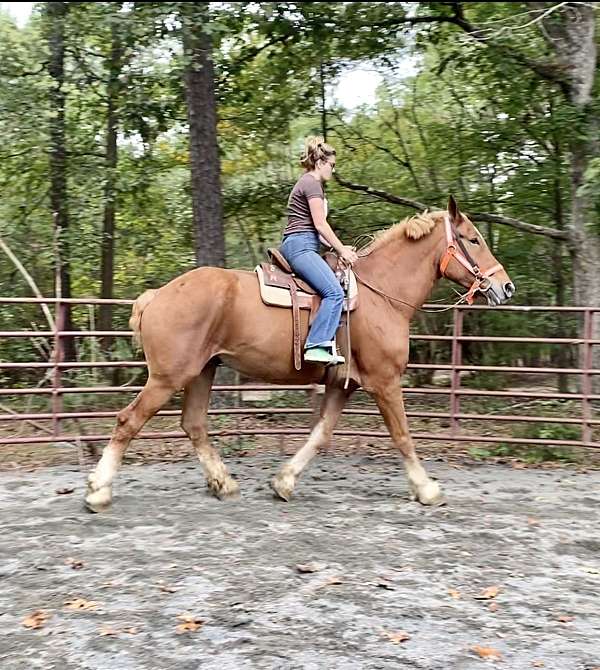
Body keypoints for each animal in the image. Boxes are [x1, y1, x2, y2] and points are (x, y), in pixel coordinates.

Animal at [84, 197, 516, 512]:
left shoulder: (345, 385)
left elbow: (320, 435)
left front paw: (284, 481)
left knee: (193, 425)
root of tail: (157, 295)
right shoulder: (384, 381)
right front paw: (427, 489)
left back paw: (224, 483)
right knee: (128, 421)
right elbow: (403, 436)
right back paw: (99, 490)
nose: (506, 287)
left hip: (203, 371)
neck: (381, 295)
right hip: (168, 377)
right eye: (473, 239)